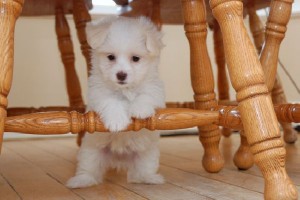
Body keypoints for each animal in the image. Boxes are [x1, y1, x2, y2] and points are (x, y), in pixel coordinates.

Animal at [65, 16, 165, 188]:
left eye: (135, 58)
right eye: (111, 57)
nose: (121, 75)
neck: (124, 90)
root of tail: (119, 158)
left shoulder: (156, 91)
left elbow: (145, 95)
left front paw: (140, 110)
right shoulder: (98, 93)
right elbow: (111, 102)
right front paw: (117, 122)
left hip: (146, 154)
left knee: (141, 171)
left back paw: (150, 178)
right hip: (90, 152)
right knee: (89, 169)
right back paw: (80, 181)